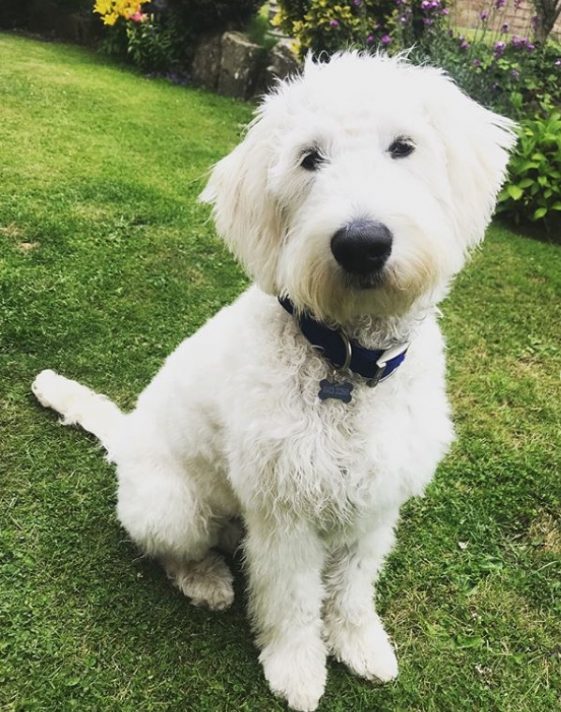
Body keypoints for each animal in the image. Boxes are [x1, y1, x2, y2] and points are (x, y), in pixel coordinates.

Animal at [29, 51, 512, 712]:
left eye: (403, 147)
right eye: (310, 158)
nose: (363, 243)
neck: (346, 364)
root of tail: (124, 438)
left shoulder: (375, 501)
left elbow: (353, 586)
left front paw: (360, 644)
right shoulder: (285, 514)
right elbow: (291, 599)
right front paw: (297, 669)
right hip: (171, 507)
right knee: (172, 552)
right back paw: (206, 581)